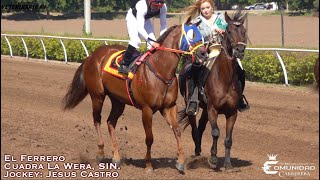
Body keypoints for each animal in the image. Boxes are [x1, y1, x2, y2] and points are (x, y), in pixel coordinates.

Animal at [61, 20, 206, 173]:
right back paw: (100, 152)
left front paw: (180, 162)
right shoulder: (147, 109)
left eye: (201, 34)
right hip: (97, 95)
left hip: (118, 101)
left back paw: (116, 157)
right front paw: (148, 165)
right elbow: (149, 138)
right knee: (97, 119)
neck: (161, 71)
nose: (204, 53)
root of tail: (92, 56)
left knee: (110, 122)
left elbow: (177, 131)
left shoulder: (168, 107)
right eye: (191, 35)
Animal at [178, 9, 248, 170]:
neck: (225, 78)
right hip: (192, 106)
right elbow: (215, 132)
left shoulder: (232, 112)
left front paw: (228, 164)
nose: (239, 50)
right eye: (229, 31)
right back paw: (197, 151)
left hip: (205, 108)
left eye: (244, 31)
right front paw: (214, 159)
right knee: (194, 128)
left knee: (201, 126)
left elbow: (228, 138)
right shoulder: (213, 109)